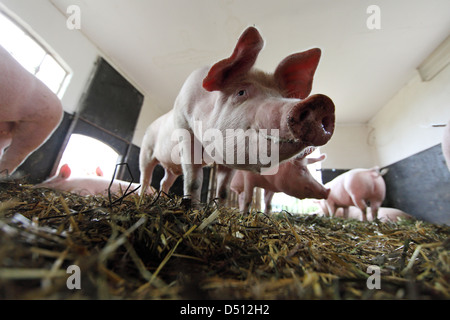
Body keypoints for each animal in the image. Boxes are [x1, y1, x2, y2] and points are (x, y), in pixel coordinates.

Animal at [140, 26, 334, 204]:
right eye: (241, 92)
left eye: (281, 96)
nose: (321, 102)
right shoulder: (184, 127)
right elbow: (194, 180)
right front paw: (193, 208)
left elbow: (224, 191)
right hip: (146, 150)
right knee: (146, 175)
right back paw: (143, 197)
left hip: (169, 167)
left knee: (165, 180)